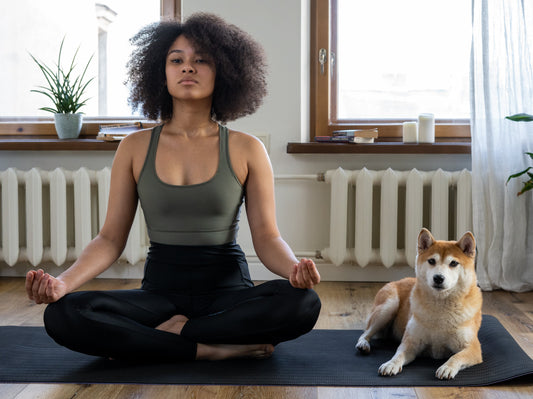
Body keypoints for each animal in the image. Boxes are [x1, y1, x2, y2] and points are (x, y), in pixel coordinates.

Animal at [354, 230, 482, 380]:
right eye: (431, 261)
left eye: (454, 263)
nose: (438, 278)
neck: (440, 308)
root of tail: (396, 281)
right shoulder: (410, 343)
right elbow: (398, 355)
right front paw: (390, 364)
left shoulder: (473, 348)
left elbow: (456, 357)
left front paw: (447, 367)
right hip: (388, 307)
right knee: (365, 333)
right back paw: (363, 344)